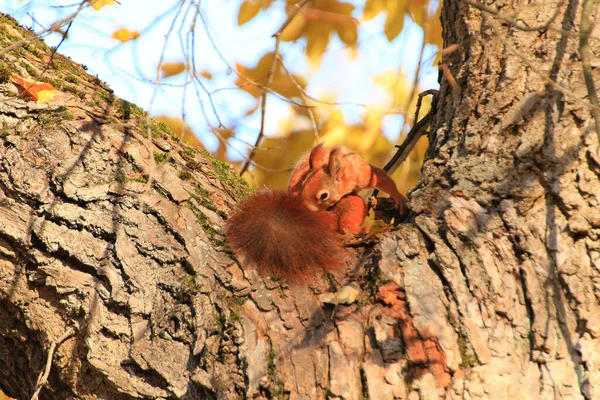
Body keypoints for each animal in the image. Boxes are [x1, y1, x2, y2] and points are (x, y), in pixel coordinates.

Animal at [226, 143, 408, 282]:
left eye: (323, 195)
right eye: (304, 184)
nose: (307, 209)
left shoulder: (362, 174)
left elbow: (380, 177)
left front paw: (398, 197)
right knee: (347, 224)